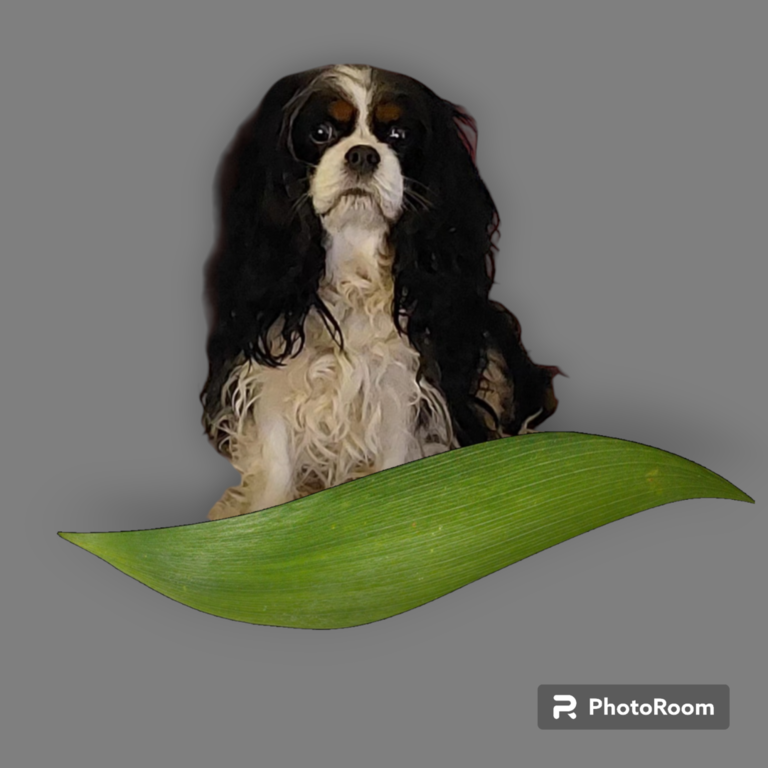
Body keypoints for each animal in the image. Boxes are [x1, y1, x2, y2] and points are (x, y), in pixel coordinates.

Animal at [200, 64, 560, 520]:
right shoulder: (273, 361)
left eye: (398, 135)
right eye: (320, 132)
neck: (353, 258)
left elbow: (395, 448)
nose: (363, 154)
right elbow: (277, 456)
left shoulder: (400, 377)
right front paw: (262, 516)